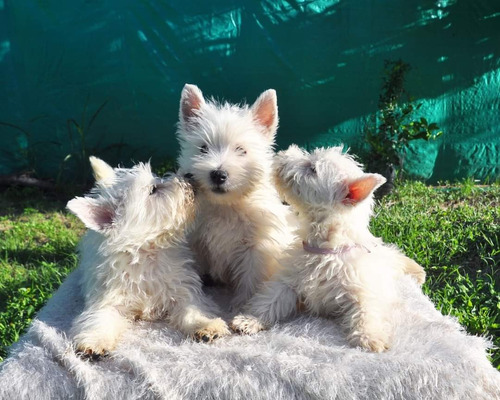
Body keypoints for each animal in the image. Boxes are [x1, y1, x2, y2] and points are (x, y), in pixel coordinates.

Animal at [67, 157, 230, 360]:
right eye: (153, 190)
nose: (189, 175)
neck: (147, 254)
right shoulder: (107, 299)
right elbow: (100, 319)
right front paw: (95, 342)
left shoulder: (182, 290)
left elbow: (192, 309)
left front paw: (207, 325)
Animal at [174, 84, 294, 310]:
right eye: (203, 148)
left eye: (241, 150)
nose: (218, 174)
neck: (225, 206)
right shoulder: (195, 243)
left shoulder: (255, 248)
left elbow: (250, 279)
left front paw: (241, 307)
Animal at [231, 145, 426, 352]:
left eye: (312, 169)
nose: (282, 154)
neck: (326, 248)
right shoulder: (288, 281)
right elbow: (270, 299)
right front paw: (248, 320)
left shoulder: (362, 288)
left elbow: (366, 311)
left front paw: (370, 337)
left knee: (394, 255)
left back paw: (417, 271)